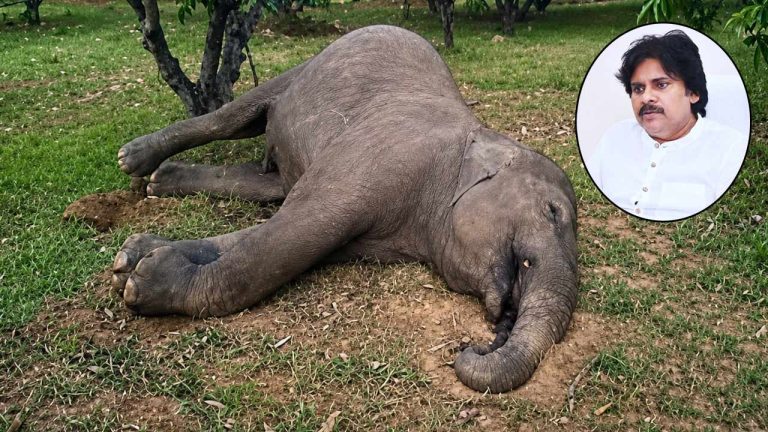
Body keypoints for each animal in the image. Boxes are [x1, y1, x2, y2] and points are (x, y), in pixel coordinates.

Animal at [112, 25, 578, 393]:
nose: (475, 345)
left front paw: (133, 260)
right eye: (553, 212)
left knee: (269, 184)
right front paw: (142, 282)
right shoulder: (381, 159)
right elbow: (292, 236)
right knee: (231, 118)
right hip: (305, 67)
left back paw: (160, 181)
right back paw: (133, 159)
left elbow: (300, 238)